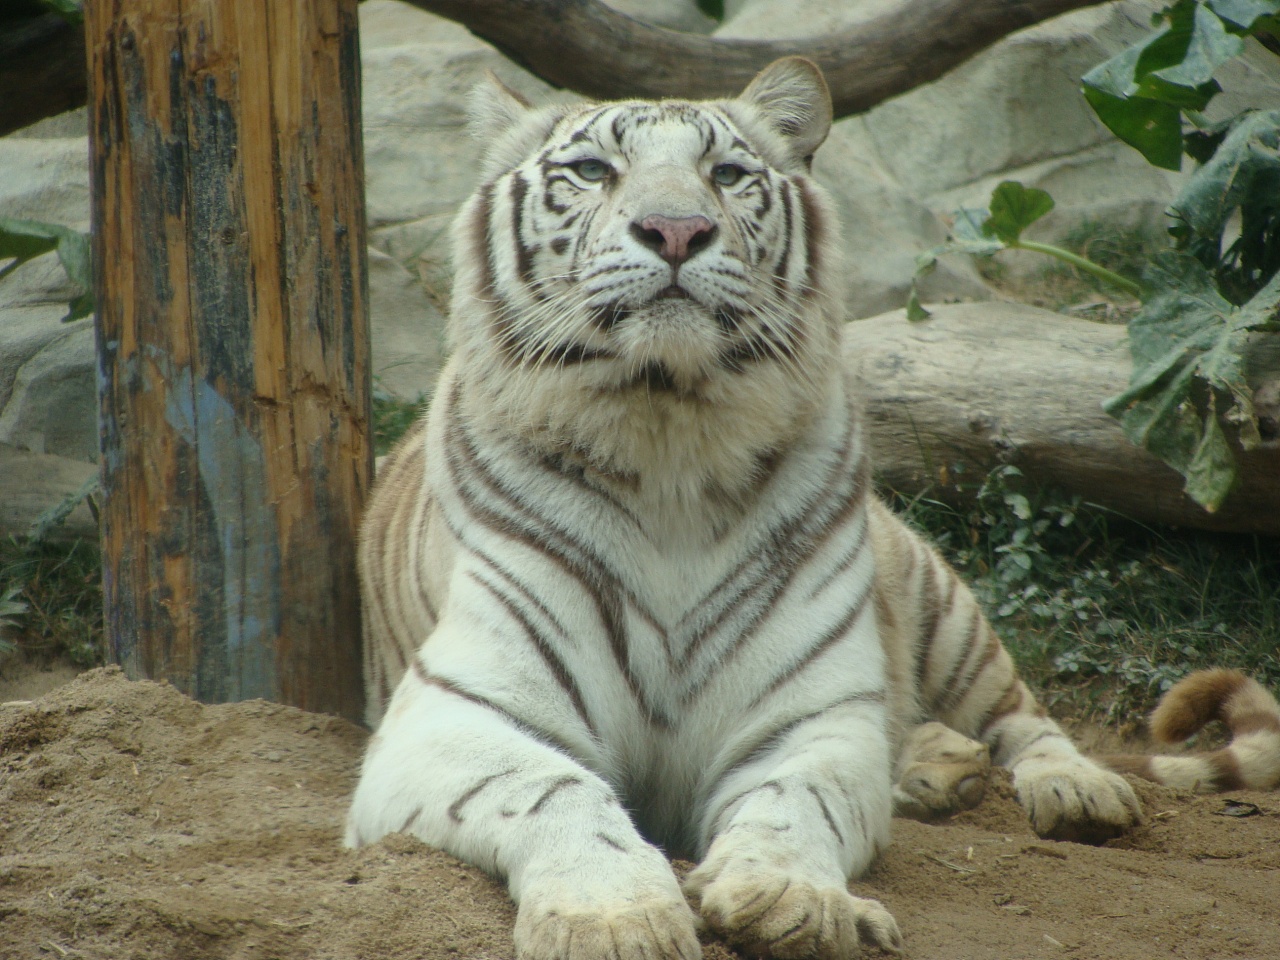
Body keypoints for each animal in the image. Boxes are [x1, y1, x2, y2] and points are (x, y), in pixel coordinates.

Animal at [345, 58, 1280, 959]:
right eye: (591, 171)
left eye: (725, 173)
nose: (677, 231)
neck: (667, 437)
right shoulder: (458, 711)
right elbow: (552, 790)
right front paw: (612, 919)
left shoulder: (805, 716)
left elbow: (799, 802)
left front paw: (791, 900)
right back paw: (934, 771)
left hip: (944, 605)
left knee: (1025, 718)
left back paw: (1073, 788)